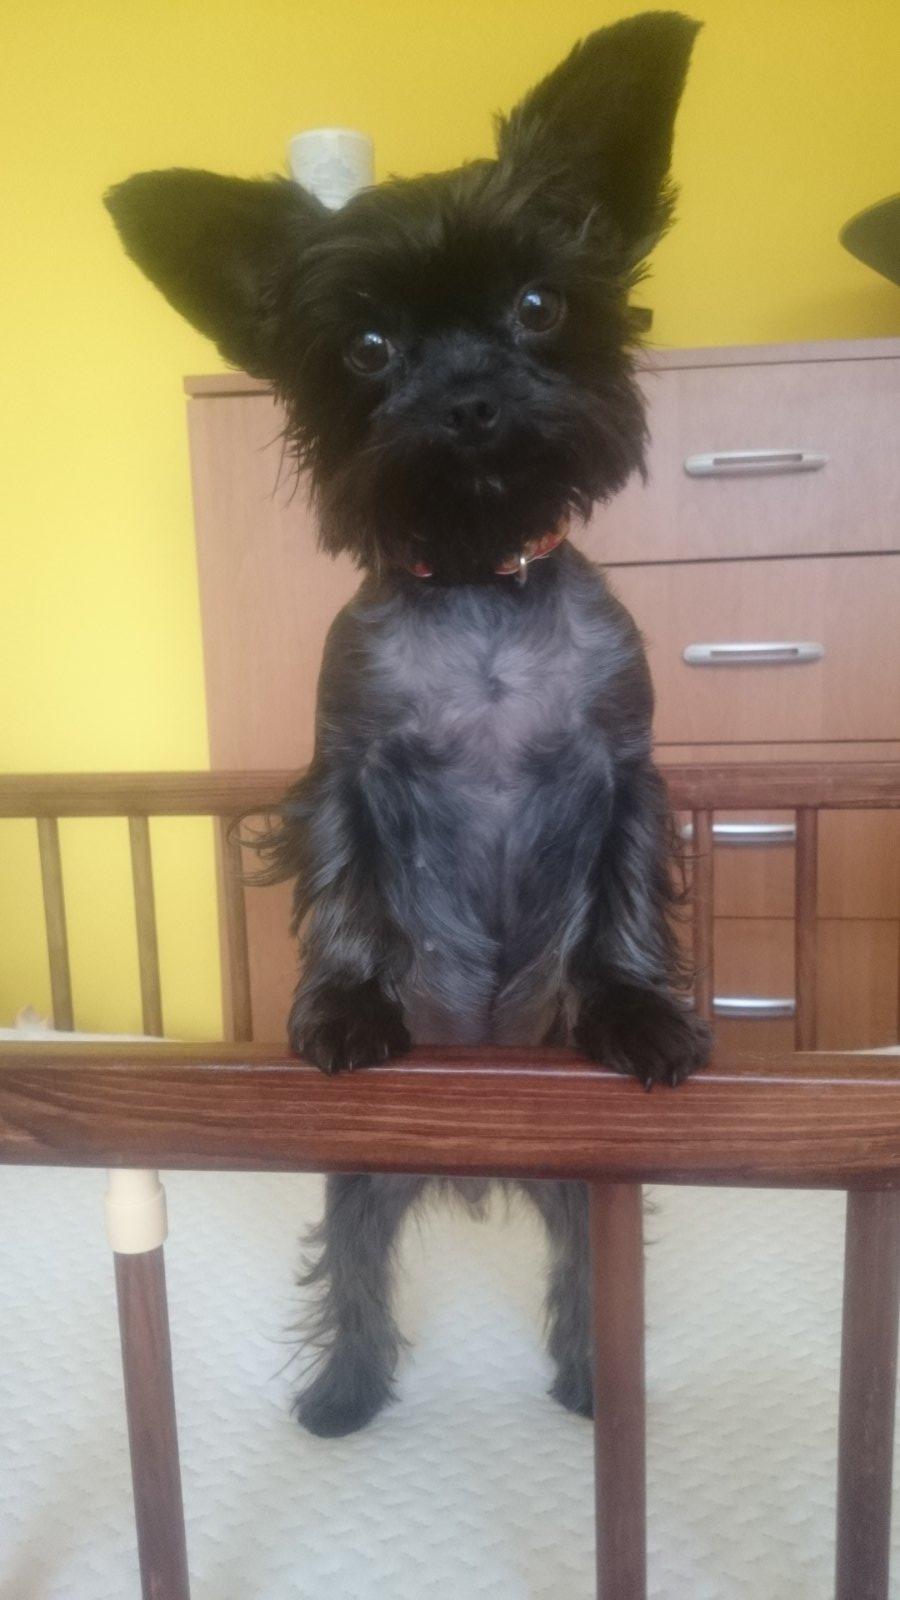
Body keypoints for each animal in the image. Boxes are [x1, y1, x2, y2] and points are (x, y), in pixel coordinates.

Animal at [106, 10, 710, 1438]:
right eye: (368, 347)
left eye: (540, 306)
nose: (472, 401)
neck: (480, 584)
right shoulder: (346, 768)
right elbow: (346, 890)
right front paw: (343, 1005)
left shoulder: (627, 771)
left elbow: (623, 905)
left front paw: (637, 1012)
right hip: (360, 1180)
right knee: (357, 1265)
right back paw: (345, 1390)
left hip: (586, 1188)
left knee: (583, 1272)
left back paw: (591, 1382)